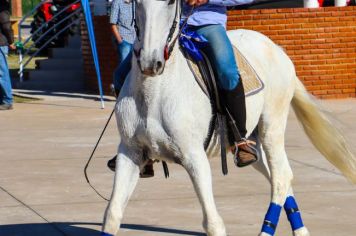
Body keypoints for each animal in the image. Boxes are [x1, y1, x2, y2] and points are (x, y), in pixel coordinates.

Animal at [99, 0, 356, 235]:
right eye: (136, 3)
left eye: (171, 2)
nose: (150, 63)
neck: (155, 91)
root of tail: (277, 49)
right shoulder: (130, 154)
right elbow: (112, 214)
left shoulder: (195, 158)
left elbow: (213, 223)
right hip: (254, 143)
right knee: (280, 177)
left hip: (271, 128)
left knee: (281, 178)